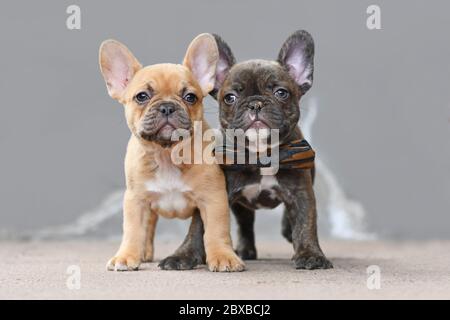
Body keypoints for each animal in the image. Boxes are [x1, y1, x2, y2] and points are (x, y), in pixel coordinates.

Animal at [99, 33, 243, 272]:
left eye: (190, 97)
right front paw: (127, 256)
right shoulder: (136, 201)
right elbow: (133, 231)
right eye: (141, 96)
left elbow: (216, 231)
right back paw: (143, 253)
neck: (167, 154)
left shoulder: (213, 199)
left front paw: (223, 256)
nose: (167, 106)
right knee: (148, 228)